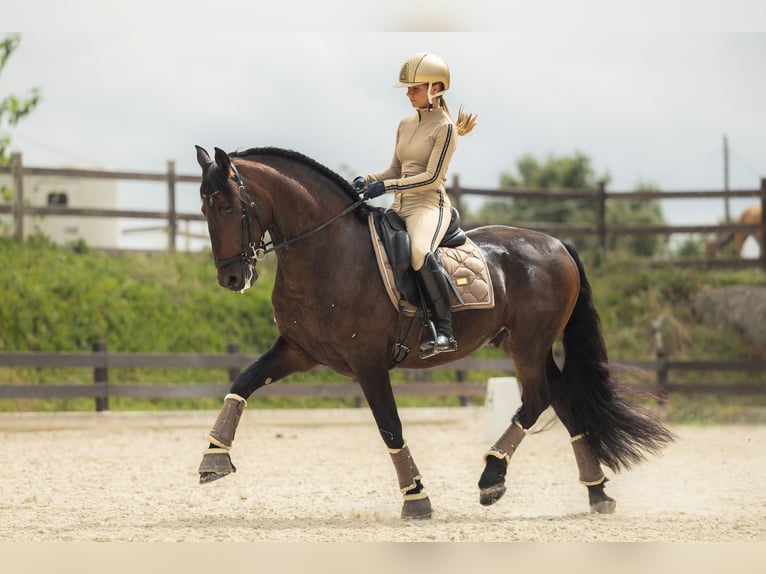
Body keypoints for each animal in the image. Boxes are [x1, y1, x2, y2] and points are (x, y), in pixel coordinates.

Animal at [194, 145, 674, 519]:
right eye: (203, 208)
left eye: (228, 208)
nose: (231, 278)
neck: (329, 252)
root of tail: (557, 244)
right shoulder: (298, 350)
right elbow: (243, 382)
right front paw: (214, 458)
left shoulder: (368, 364)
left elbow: (390, 427)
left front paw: (416, 498)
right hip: (527, 347)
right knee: (562, 400)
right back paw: (596, 492)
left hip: (528, 345)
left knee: (537, 400)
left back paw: (491, 477)